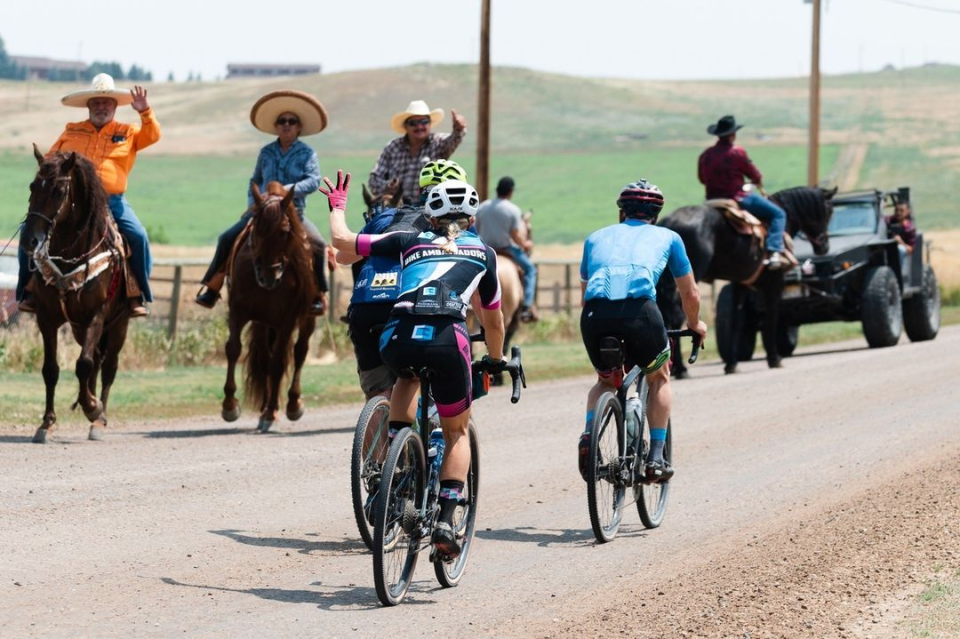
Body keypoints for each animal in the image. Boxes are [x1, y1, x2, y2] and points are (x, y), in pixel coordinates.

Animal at [20, 146, 131, 444]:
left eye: (59, 191)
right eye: (32, 186)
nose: (29, 240)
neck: (71, 255)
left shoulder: (97, 316)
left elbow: (83, 364)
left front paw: (93, 408)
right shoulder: (47, 318)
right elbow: (51, 369)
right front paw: (46, 424)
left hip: (119, 325)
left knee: (108, 367)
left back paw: (99, 419)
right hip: (80, 328)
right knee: (96, 363)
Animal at [220, 182, 318, 432]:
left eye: (284, 231)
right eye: (256, 229)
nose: (268, 277)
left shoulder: (287, 320)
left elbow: (278, 363)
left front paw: (271, 411)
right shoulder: (239, 312)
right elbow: (234, 349)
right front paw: (229, 406)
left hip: (307, 319)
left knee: (299, 353)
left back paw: (291, 404)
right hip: (264, 323)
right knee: (264, 359)